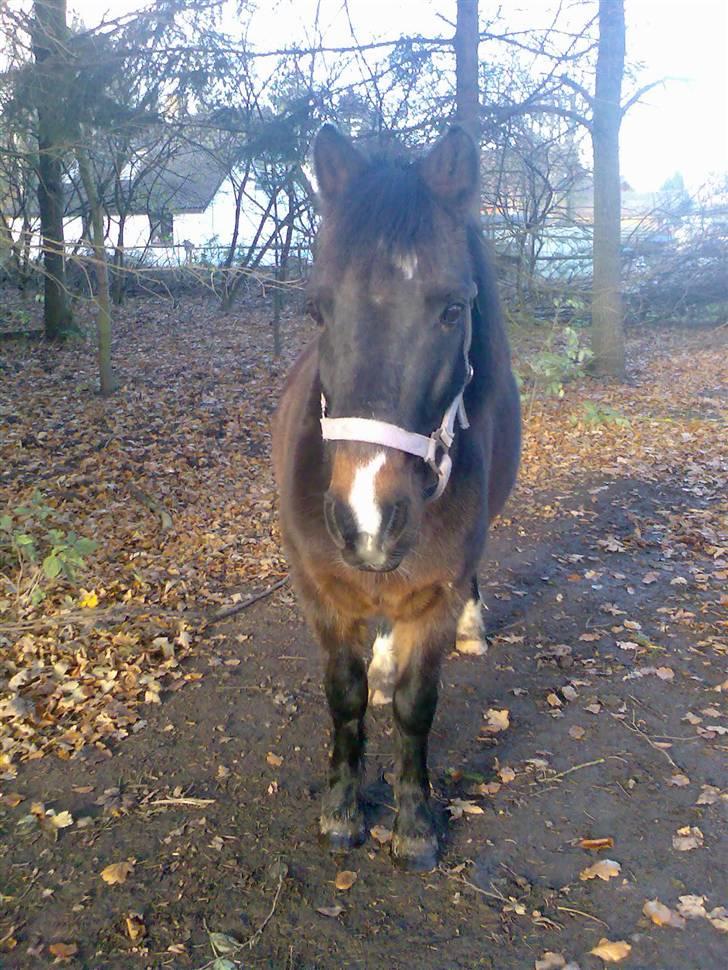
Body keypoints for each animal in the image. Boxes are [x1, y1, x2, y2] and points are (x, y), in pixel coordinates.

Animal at [272, 123, 516, 868]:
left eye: (453, 310)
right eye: (316, 308)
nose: (367, 519)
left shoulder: (433, 595)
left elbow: (416, 706)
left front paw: (414, 822)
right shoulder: (323, 594)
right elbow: (345, 698)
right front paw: (342, 810)